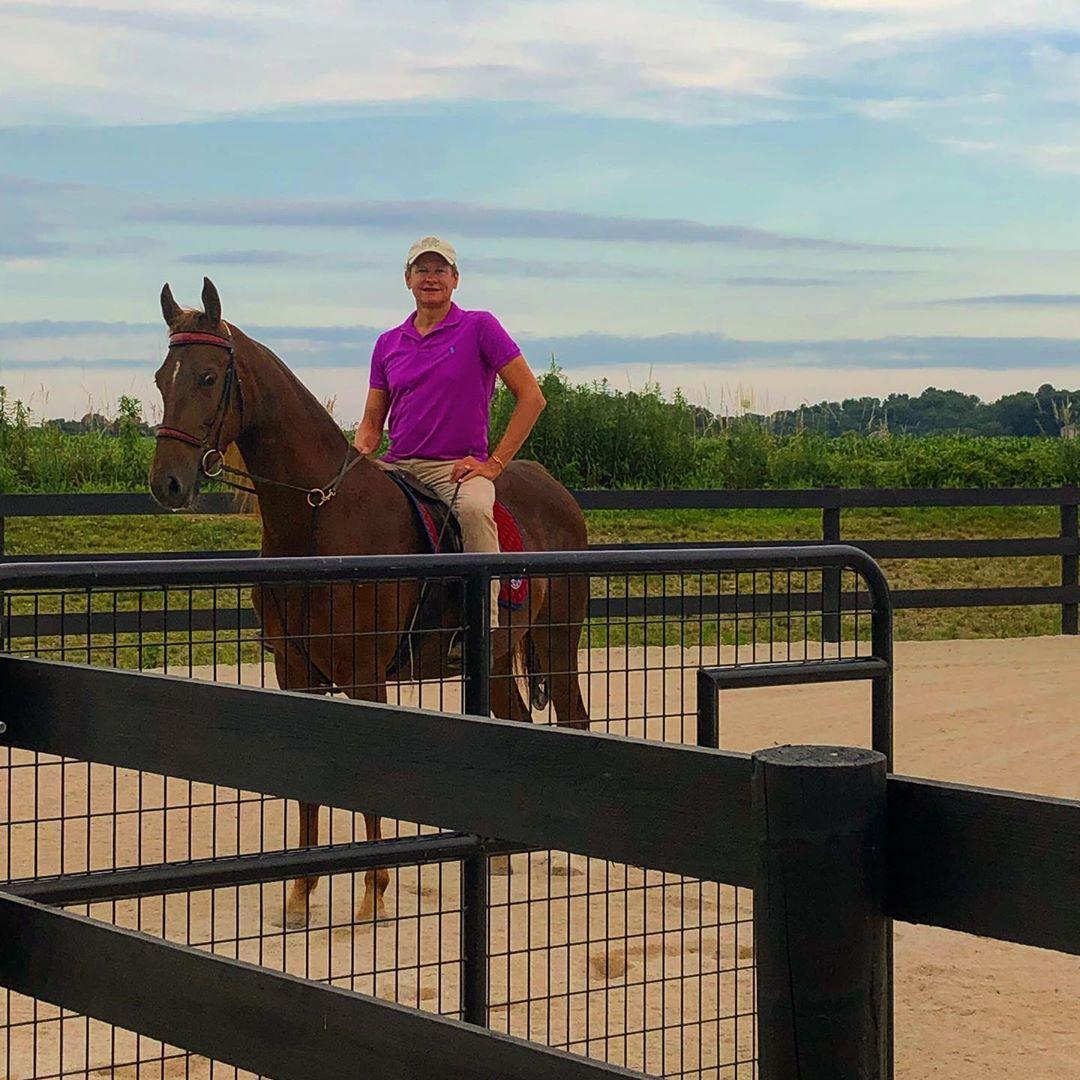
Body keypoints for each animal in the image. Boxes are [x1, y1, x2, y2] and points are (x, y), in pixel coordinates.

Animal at [150, 278, 591, 928]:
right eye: (163, 378)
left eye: (207, 376)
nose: (168, 483)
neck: (320, 521)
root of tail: (557, 494)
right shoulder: (296, 675)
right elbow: (308, 785)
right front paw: (300, 894)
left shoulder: (364, 676)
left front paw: (374, 892)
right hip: (495, 658)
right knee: (513, 718)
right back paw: (504, 856)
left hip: (558, 642)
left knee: (573, 717)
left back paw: (563, 859)